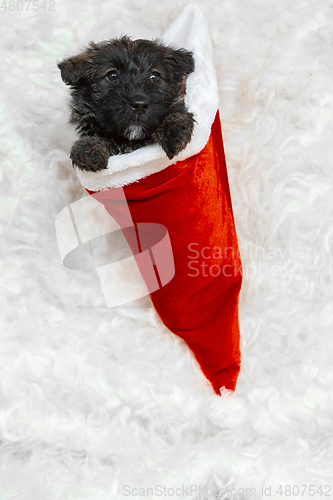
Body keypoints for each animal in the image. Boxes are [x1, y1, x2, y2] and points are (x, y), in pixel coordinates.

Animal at [57, 35, 195, 172]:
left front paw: (174, 130)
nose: (139, 105)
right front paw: (90, 148)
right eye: (112, 75)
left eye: (155, 76)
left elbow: (177, 112)